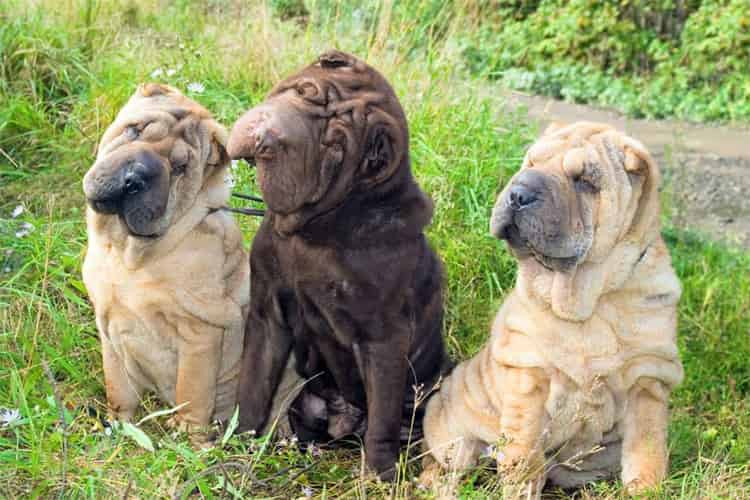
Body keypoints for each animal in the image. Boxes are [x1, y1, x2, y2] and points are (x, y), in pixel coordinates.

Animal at [82, 84, 253, 440]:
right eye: (134, 130)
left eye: (179, 168)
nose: (134, 178)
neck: (128, 253)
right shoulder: (108, 326)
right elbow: (117, 385)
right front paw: (119, 425)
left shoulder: (199, 332)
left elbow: (192, 391)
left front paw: (188, 438)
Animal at [226, 51, 450, 480]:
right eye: (303, 92)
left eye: (334, 146)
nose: (266, 140)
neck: (316, 231)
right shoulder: (267, 314)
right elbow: (253, 383)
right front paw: (236, 441)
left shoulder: (384, 339)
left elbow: (381, 418)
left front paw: (379, 475)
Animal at [420, 122, 684, 496]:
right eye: (530, 162)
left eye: (585, 181)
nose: (518, 194)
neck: (588, 298)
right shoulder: (528, 373)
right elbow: (524, 454)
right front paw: (520, 490)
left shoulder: (648, 379)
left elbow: (646, 449)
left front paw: (644, 490)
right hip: (452, 434)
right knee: (444, 460)